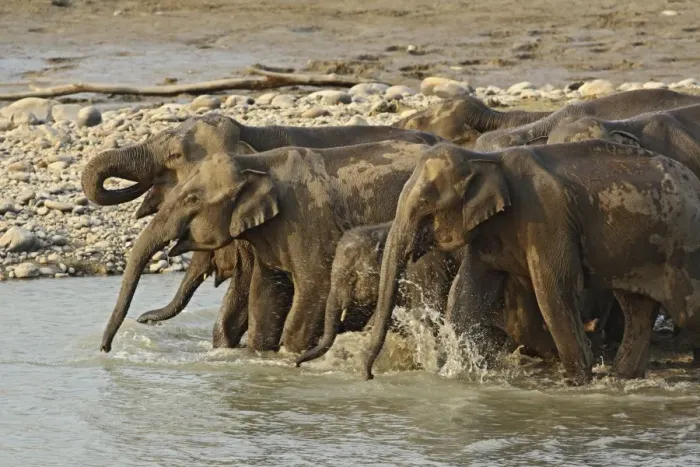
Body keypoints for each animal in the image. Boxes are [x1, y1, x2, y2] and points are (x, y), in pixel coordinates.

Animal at [363, 140, 700, 384]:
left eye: (424, 205)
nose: (368, 376)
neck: (485, 157)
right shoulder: (492, 231)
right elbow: (466, 295)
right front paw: (455, 375)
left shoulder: (546, 219)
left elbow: (554, 291)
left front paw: (577, 384)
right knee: (637, 308)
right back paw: (623, 376)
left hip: (682, 245)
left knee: (685, 309)